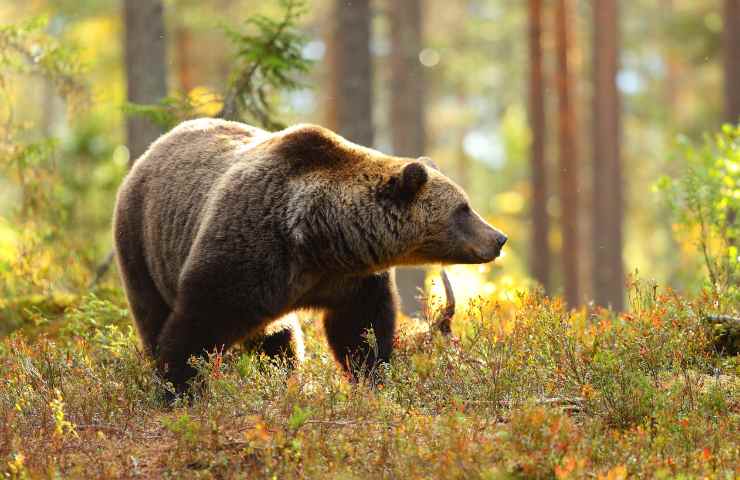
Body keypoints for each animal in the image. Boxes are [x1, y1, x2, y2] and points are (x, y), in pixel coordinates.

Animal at [112, 118, 506, 392]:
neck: (320, 238)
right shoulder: (247, 250)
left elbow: (359, 329)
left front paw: (372, 377)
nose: (499, 238)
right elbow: (199, 321)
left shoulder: (350, 279)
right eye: (463, 209)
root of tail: (149, 151)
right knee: (152, 312)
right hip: (142, 243)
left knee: (279, 339)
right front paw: (177, 386)